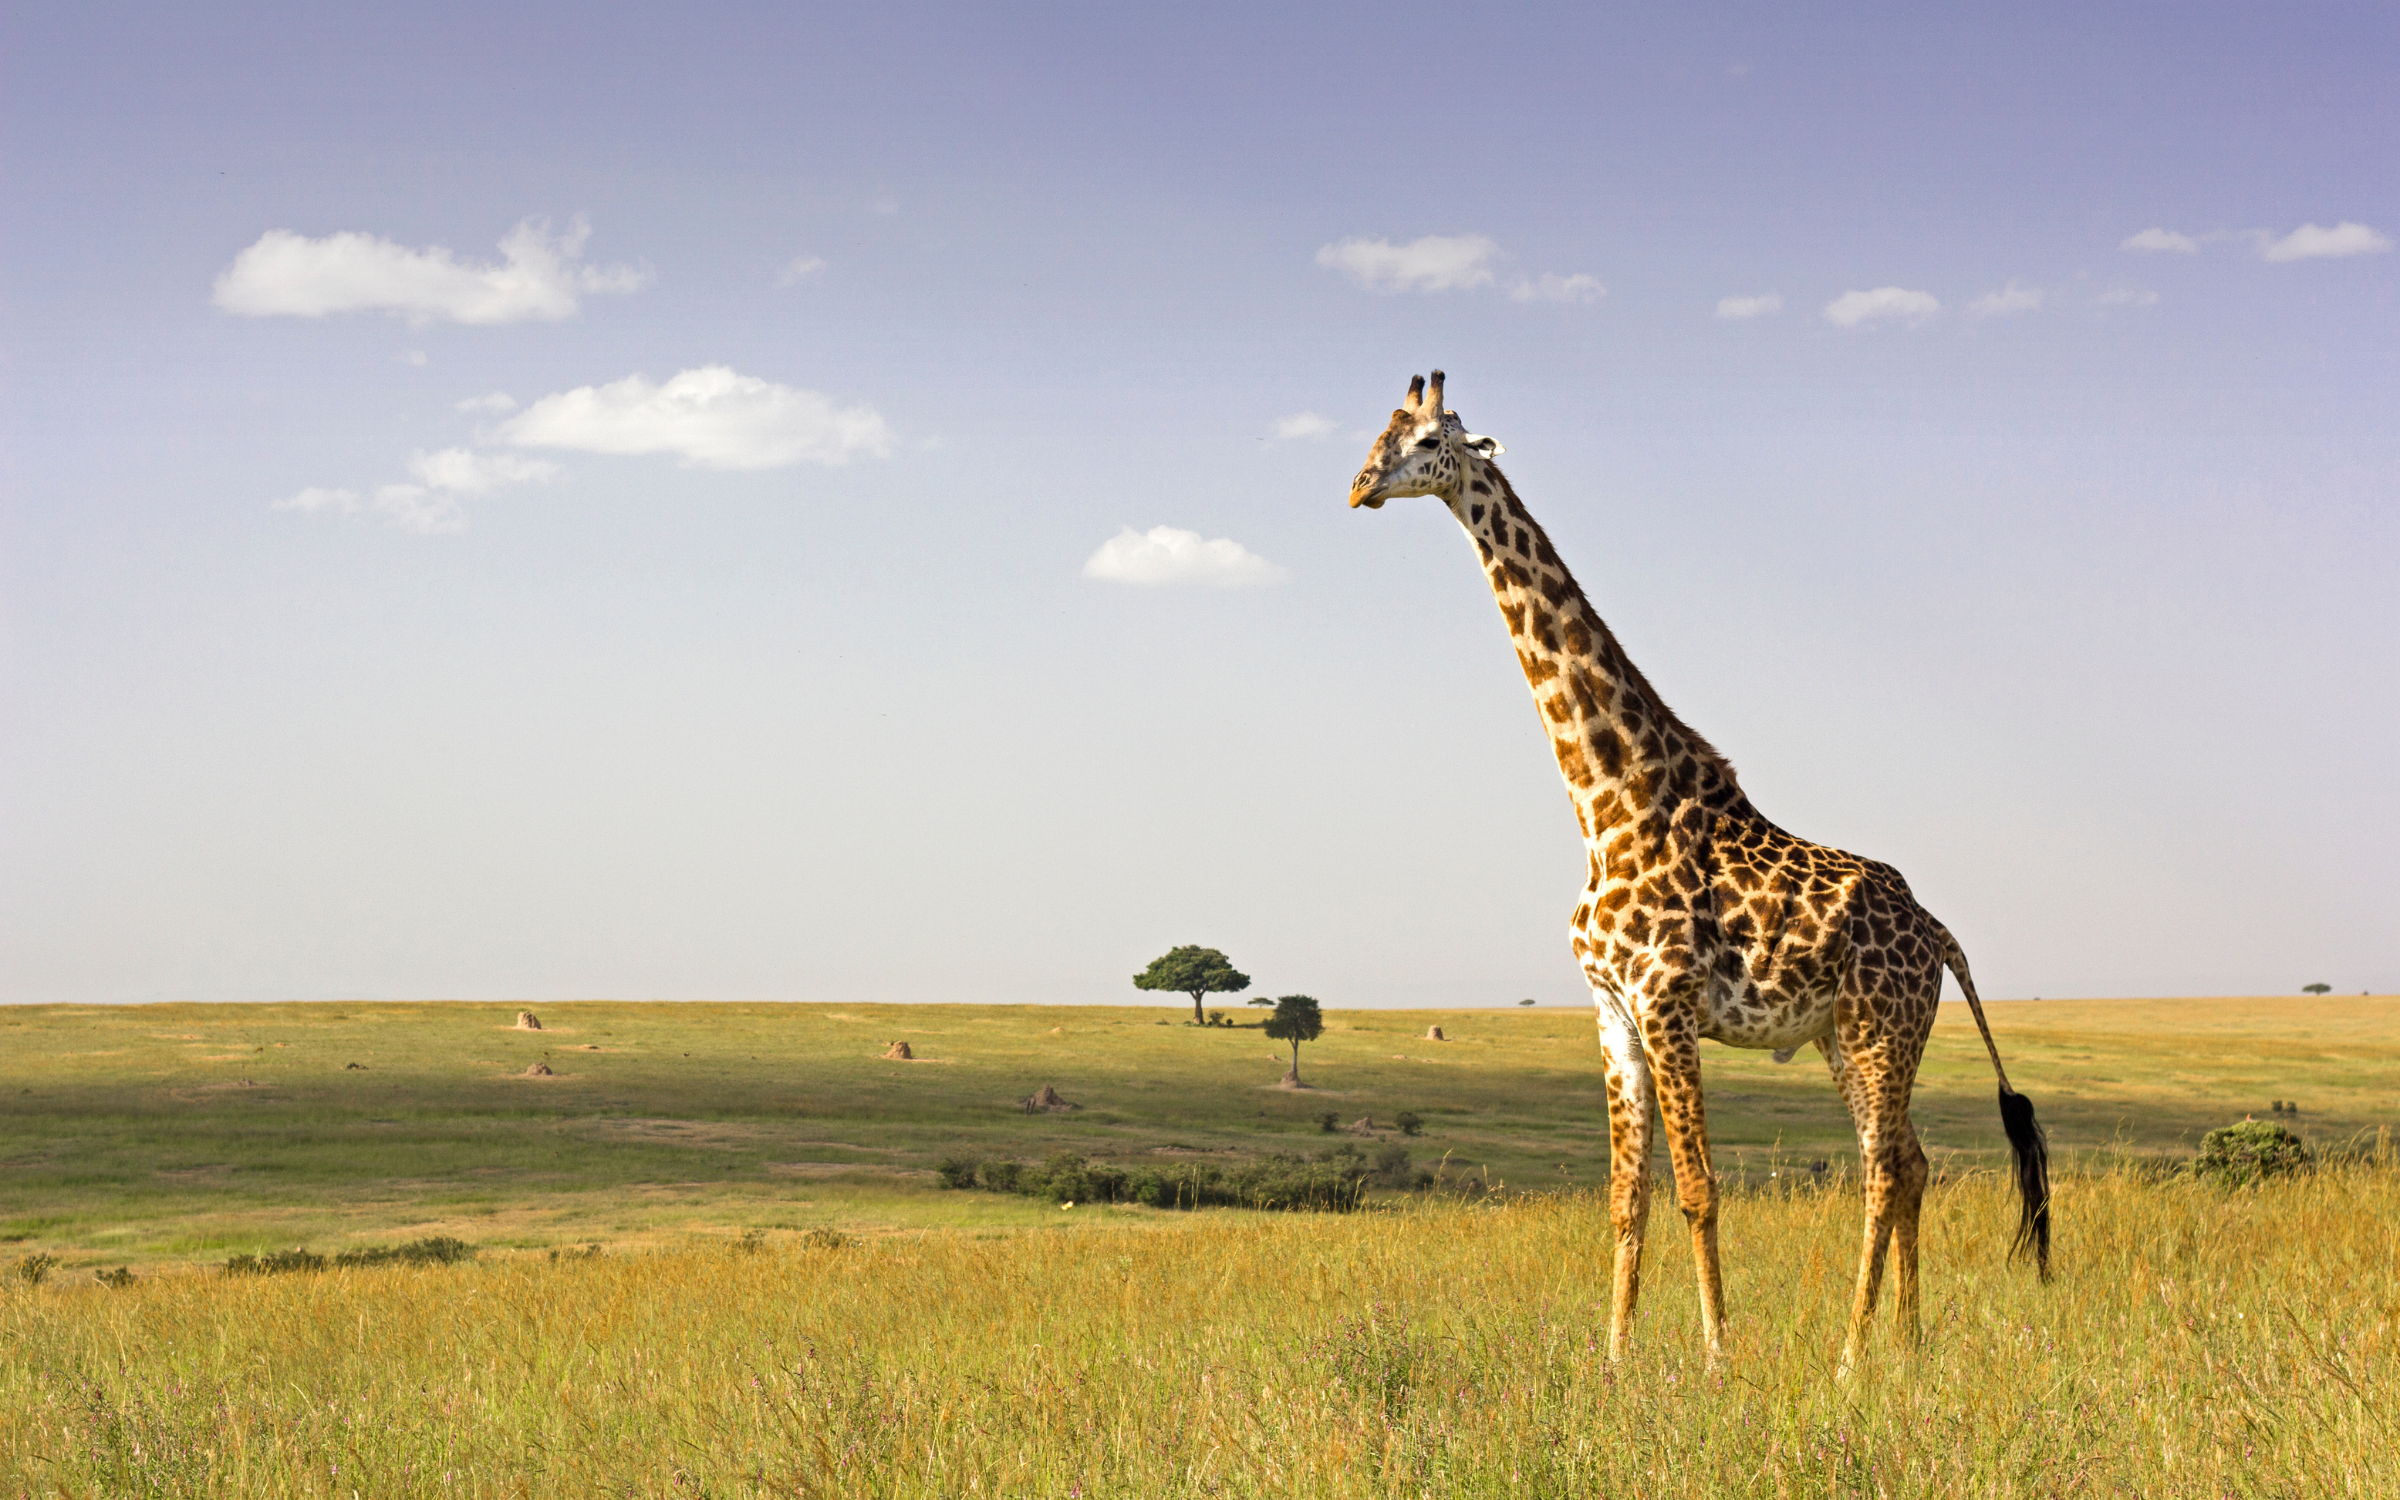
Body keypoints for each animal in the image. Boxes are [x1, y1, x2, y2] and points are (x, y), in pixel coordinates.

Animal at [1347, 371, 2050, 1369]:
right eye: (1378, 432)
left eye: (1430, 441)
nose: (1360, 487)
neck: (1606, 804)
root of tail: (1940, 932)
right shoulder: (1612, 1011)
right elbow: (1625, 1196)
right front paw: (1613, 1358)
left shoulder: (1667, 1001)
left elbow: (1697, 1189)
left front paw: (1718, 1356)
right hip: (1847, 1036)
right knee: (1912, 1163)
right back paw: (1906, 1344)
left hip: (1882, 1026)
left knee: (1882, 1169)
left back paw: (1850, 1356)